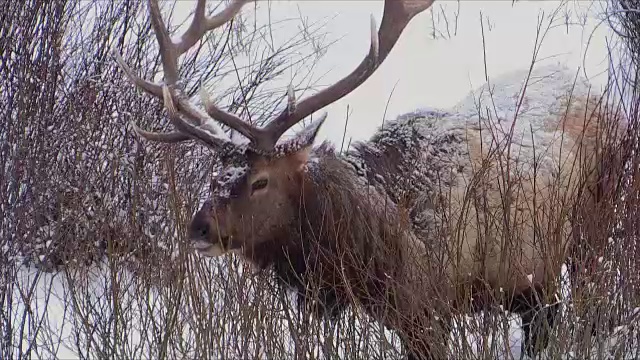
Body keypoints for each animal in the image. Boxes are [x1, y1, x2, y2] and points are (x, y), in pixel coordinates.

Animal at [114, 1, 616, 358]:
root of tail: (594, 89)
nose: (199, 228)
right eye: (216, 175)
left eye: (260, 181)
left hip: (589, 228)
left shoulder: (438, 304)